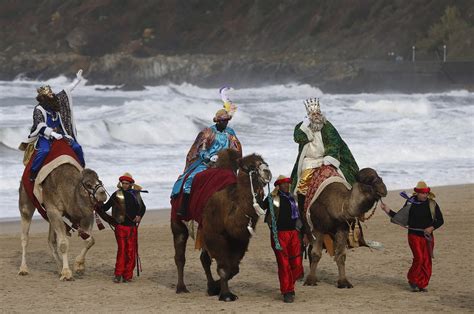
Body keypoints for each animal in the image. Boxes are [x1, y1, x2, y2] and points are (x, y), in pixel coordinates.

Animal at [172, 150, 272, 302]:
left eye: (264, 162)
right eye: (250, 166)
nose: (267, 171)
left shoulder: (239, 240)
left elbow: (234, 268)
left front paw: (215, 287)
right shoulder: (215, 235)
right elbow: (224, 268)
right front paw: (226, 295)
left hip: (202, 231)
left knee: (204, 259)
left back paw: (210, 286)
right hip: (178, 222)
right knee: (180, 256)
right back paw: (181, 288)